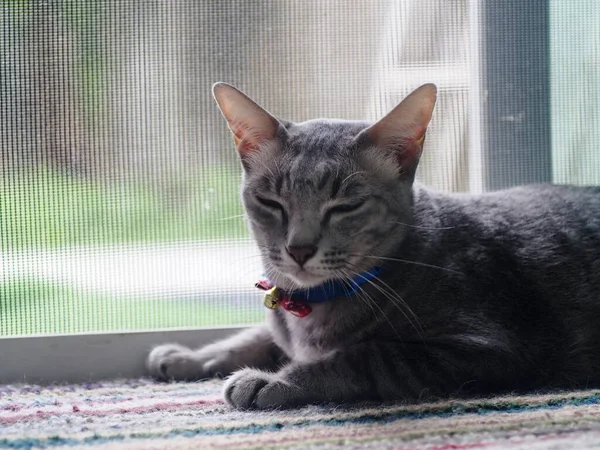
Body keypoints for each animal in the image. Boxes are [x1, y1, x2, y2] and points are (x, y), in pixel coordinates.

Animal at [148, 82, 600, 410]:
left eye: (346, 206)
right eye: (271, 202)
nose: (298, 249)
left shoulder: (483, 348)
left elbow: (361, 356)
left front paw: (270, 381)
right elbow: (254, 336)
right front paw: (188, 356)